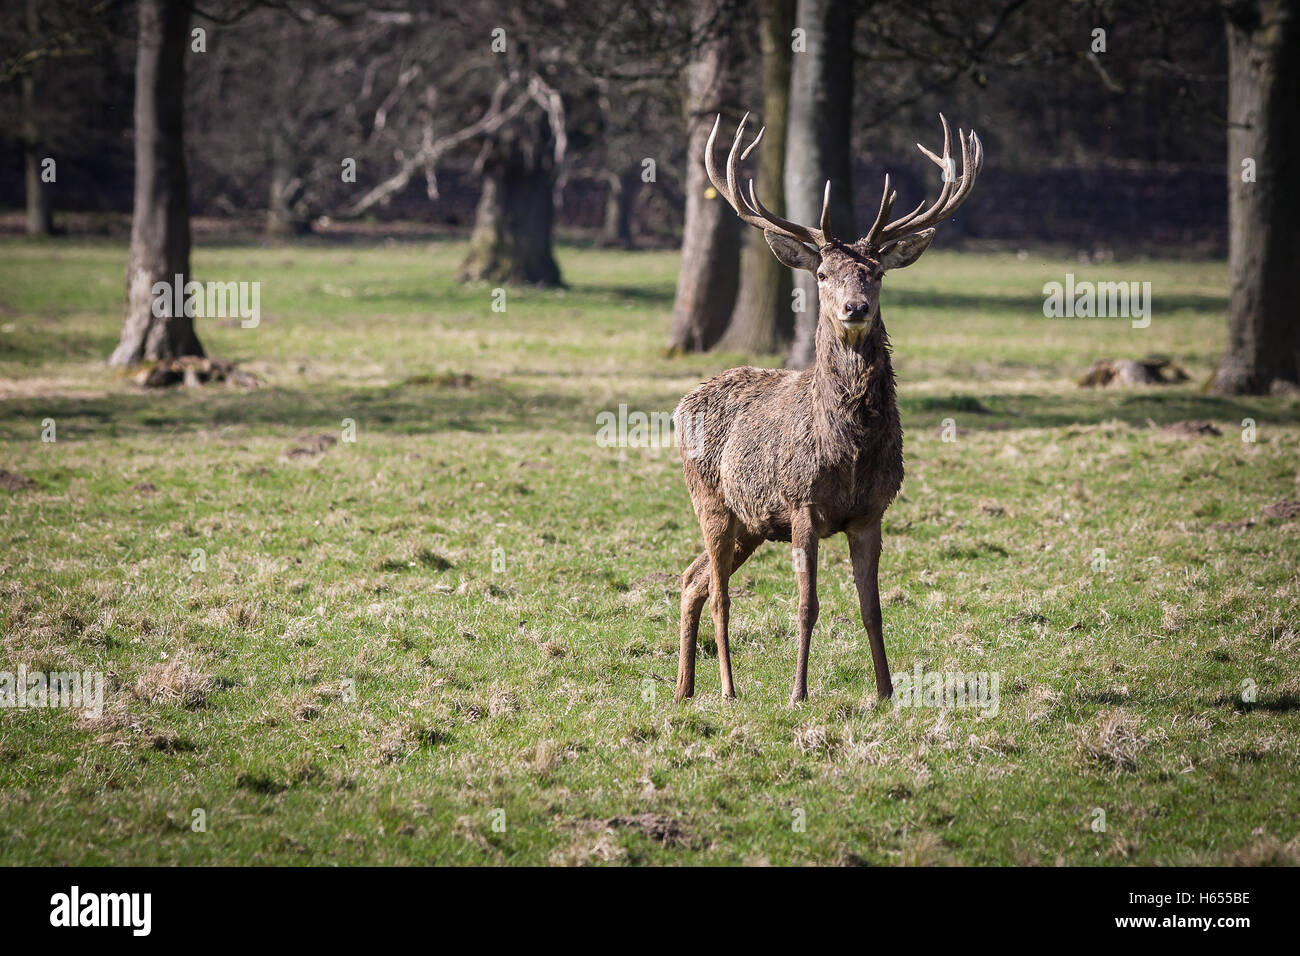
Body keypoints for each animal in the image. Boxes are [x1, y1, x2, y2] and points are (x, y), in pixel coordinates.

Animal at [673, 111, 983, 705]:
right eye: (821, 274)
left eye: (876, 273)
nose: (854, 308)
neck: (848, 451)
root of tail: (682, 403)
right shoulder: (801, 505)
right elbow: (807, 605)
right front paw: (797, 693)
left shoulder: (872, 512)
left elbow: (872, 607)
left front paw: (886, 692)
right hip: (711, 499)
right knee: (718, 591)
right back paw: (726, 689)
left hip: (750, 521)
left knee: (690, 579)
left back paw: (684, 690)